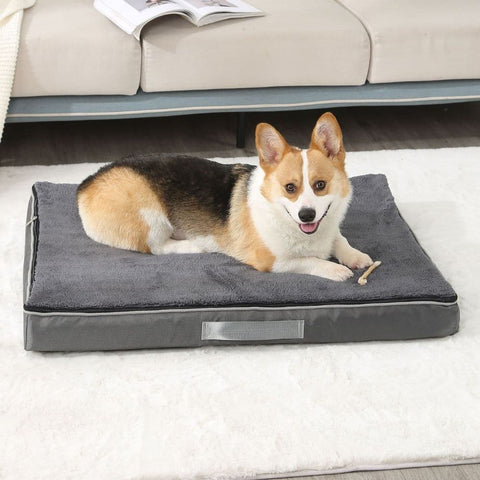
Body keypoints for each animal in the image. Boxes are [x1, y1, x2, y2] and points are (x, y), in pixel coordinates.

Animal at [78, 112, 372, 282]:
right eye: (290, 188)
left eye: (320, 185)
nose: (307, 215)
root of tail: (86, 185)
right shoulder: (271, 261)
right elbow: (308, 261)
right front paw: (335, 270)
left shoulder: (330, 231)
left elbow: (340, 239)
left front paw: (356, 257)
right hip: (151, 215)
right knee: (157, 247)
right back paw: (195, 246)